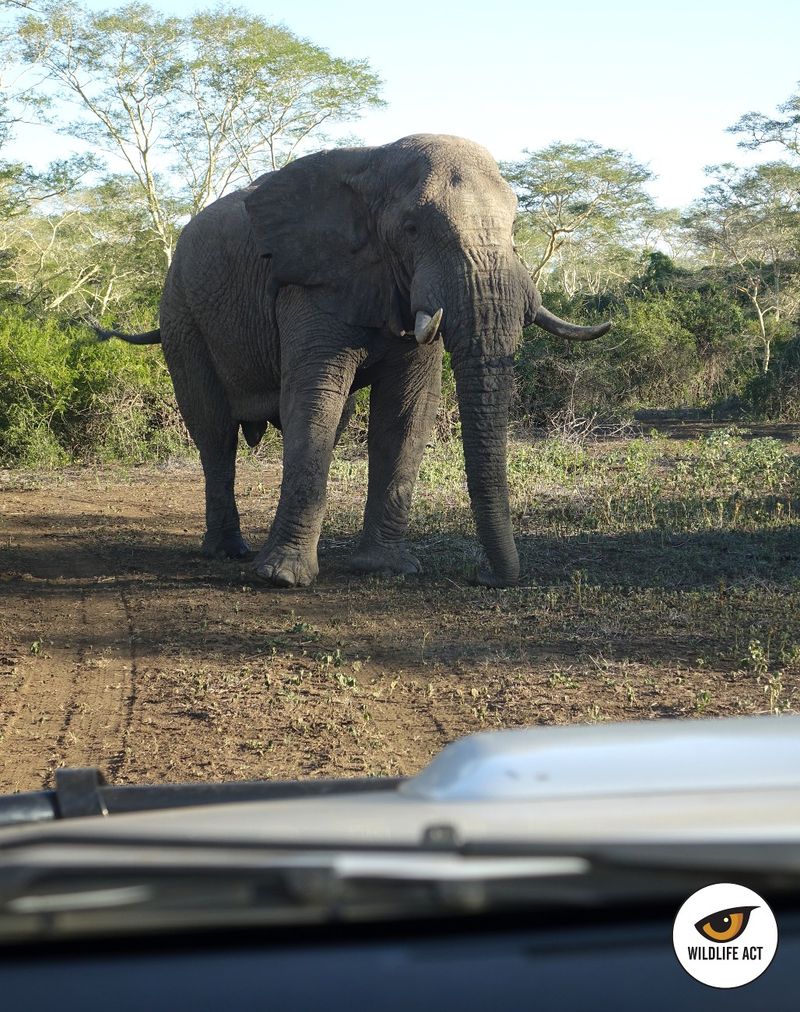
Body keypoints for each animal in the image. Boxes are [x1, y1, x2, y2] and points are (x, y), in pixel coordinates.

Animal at [99, 134, 609, 588]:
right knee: (214, 430)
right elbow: (314, 400)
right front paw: (283, 579)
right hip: (181, 315)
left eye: (514, 230)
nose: (483, 577)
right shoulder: (310, 281)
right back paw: (229, 552)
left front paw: (384, 568)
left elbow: (406, 413)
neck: (376, 165)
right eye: (411, 229)